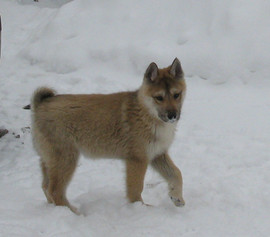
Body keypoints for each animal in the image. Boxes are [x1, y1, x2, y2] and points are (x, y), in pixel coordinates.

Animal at [29, 58, 186, 214]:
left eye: (176, 95)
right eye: (159, 97)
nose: (172, 115)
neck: (148, 115)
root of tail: (40, 105)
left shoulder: (157, 154)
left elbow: (176, 174)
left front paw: (177, 197)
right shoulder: (137, 159)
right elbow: (135, 189)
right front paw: (139, 208)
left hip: (50, 160)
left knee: (46, 187)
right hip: (66, 158)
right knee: (55, 191)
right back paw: (74, 213)